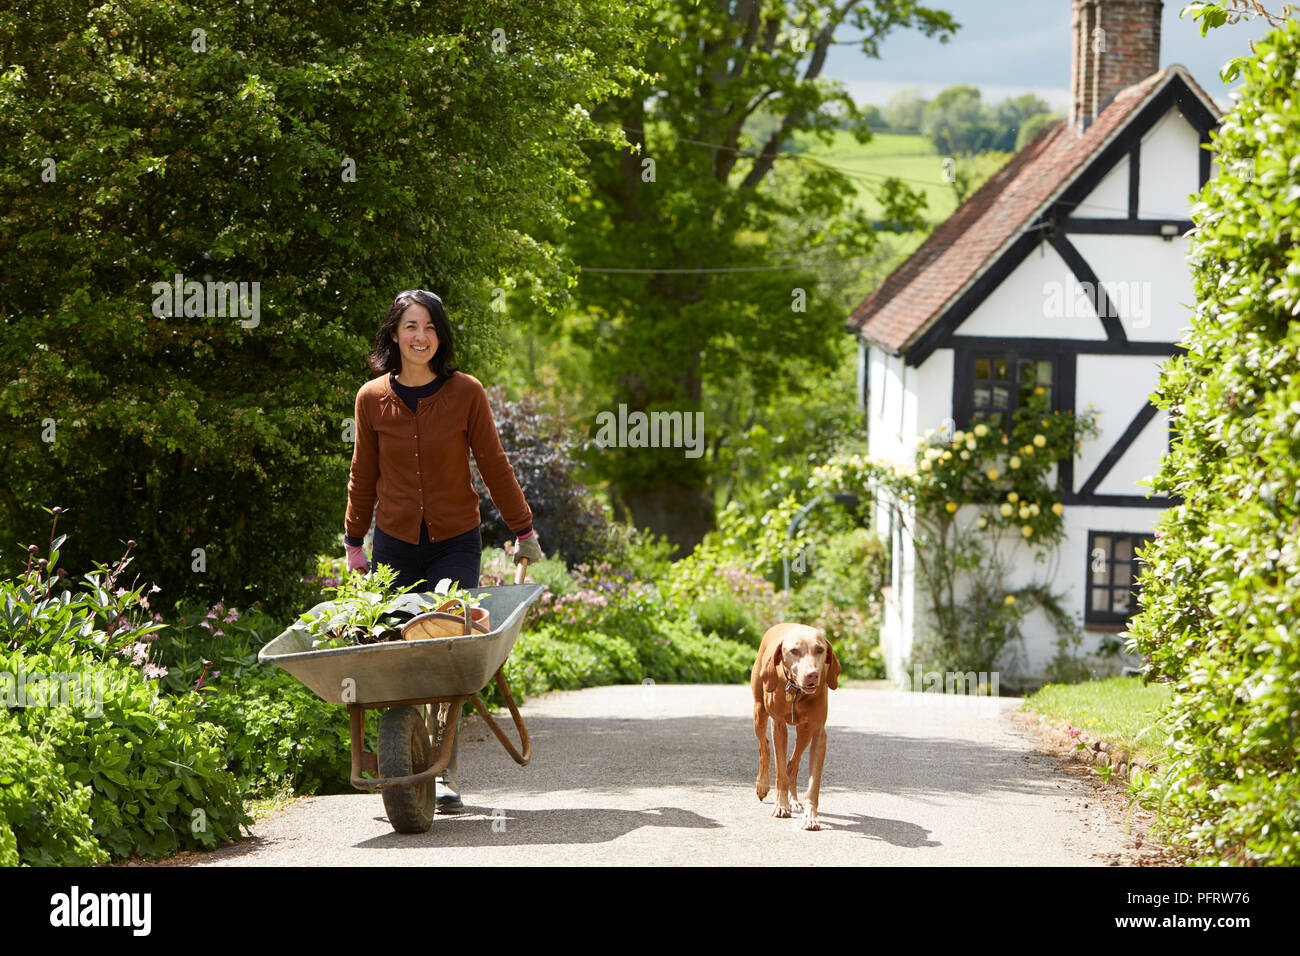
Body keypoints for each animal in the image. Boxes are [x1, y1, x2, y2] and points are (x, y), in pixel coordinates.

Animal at [754, 621, 842, 832]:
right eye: (794, 651)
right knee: (764, 747)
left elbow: (813, 785)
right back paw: (762, 785)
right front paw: (781, 805)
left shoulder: (818, 733)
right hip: (759, 712)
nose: (812, 675)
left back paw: (793, 800)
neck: (796, 692)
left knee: (792, 764)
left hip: (804, 732)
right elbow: (779, 772)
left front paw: (811, 816)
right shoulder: (778, 725)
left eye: (820, 649)